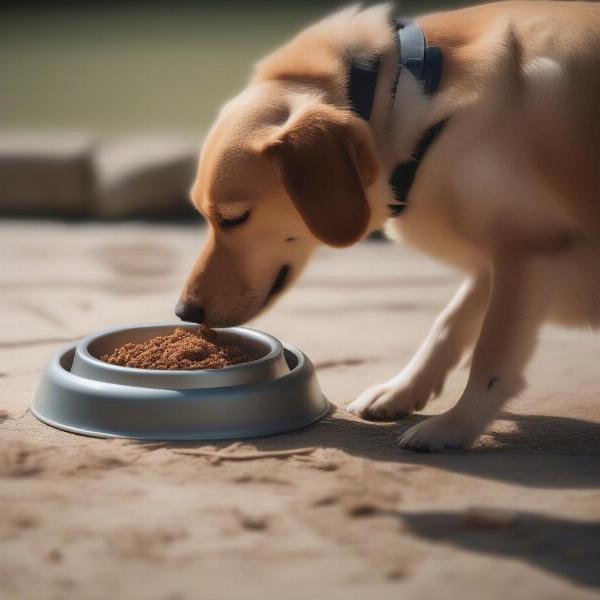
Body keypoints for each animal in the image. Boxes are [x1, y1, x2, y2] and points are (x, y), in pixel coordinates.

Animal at [175, 1, 600, 450]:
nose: (184, 311)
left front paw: (455, 426)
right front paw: (402, 391)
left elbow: (491, 354)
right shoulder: (494, 257)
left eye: (233, 218)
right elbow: (449, 324)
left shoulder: (525, 248)